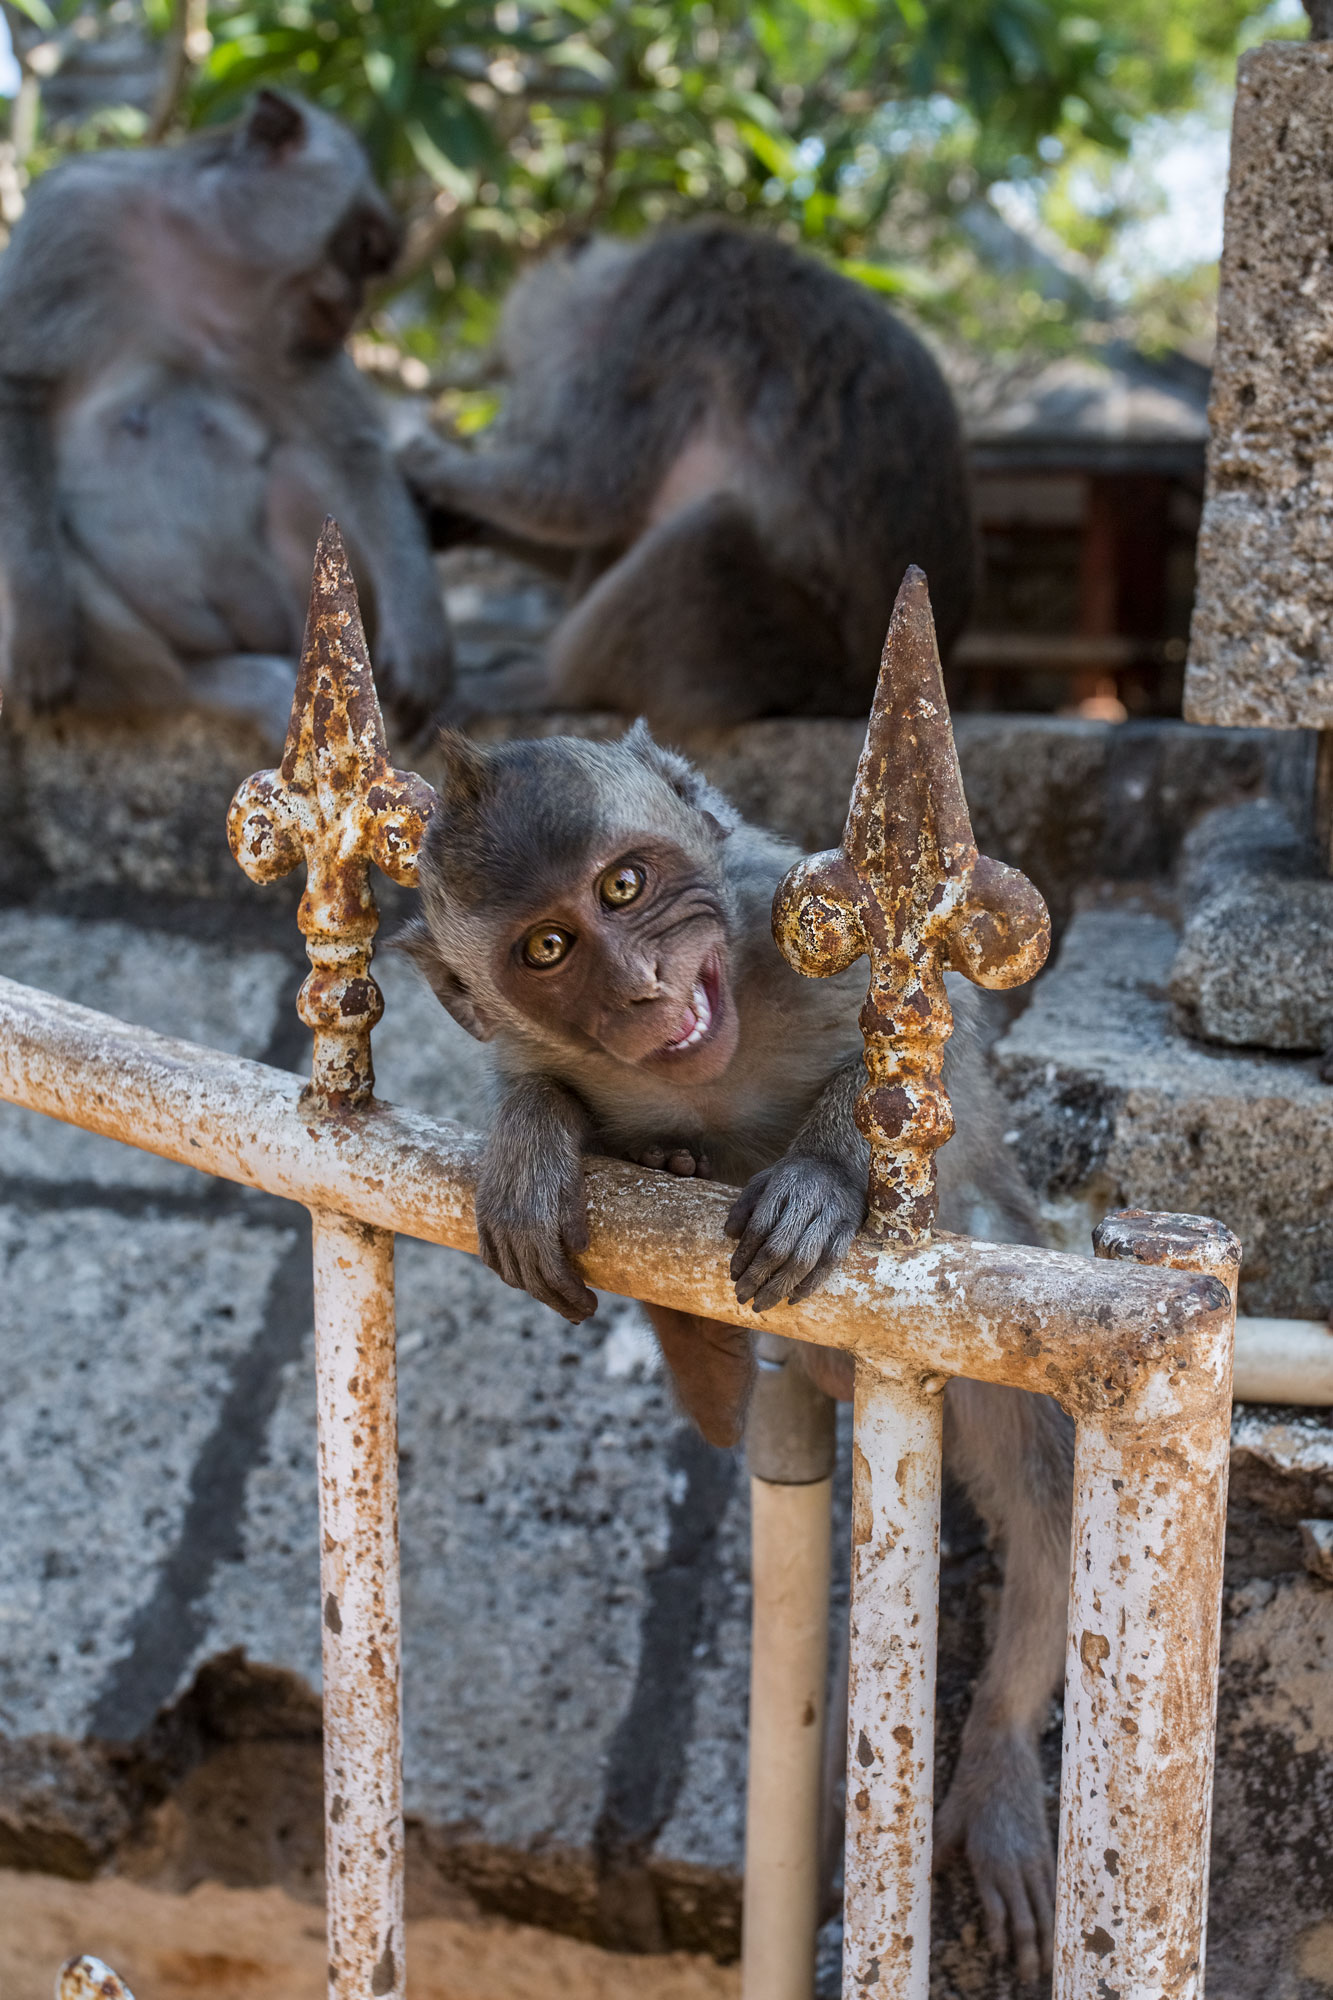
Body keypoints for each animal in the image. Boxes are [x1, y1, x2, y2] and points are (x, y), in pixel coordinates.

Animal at [0, 89, 452, 745]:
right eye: (364, 246)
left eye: (374, 263)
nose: (355, 304)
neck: (203, 256)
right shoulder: (71, 220)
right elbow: (18, 390)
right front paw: (40, 624)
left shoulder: (287, 330)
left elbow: (344, 444)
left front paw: (420, 630)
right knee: (162, 673)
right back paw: (211, 684)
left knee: (306, 473)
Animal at [397, 223, 977, 735]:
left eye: (518, 375)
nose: (509, 416)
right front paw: (457, 522)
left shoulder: (645, 326)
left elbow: (584, 492)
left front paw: (426, 461)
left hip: (791, 662)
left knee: (708, 536)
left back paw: (550, 683)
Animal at [398, 723, 1072, 1982]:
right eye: (549, 947)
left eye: (625, 886)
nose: (641, 984)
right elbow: (537, 1086)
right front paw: (531, 1136)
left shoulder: (781, 912)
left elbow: (928, 1058)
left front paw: (817, 1177)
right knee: (727, 1388)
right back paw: (687, 1299)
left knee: (1041, 1470)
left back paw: (1000, 1745)